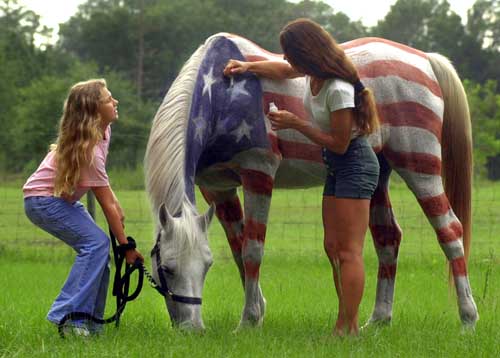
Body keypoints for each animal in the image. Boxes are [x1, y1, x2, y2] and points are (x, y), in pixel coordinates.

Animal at [143, 32, 478, 330]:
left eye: (207, 265)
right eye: (167, 268)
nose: (192, 328)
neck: (222, 94)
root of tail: (425, 59)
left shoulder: (258, 172)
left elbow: (252, 249)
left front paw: (249, 321)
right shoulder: (217, 187)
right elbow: (238, 249)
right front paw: (258, 310)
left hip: (419, 163)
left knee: (450, 231)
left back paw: (467, 318)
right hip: (378, 174)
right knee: (388, 238)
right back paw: (378, 320)